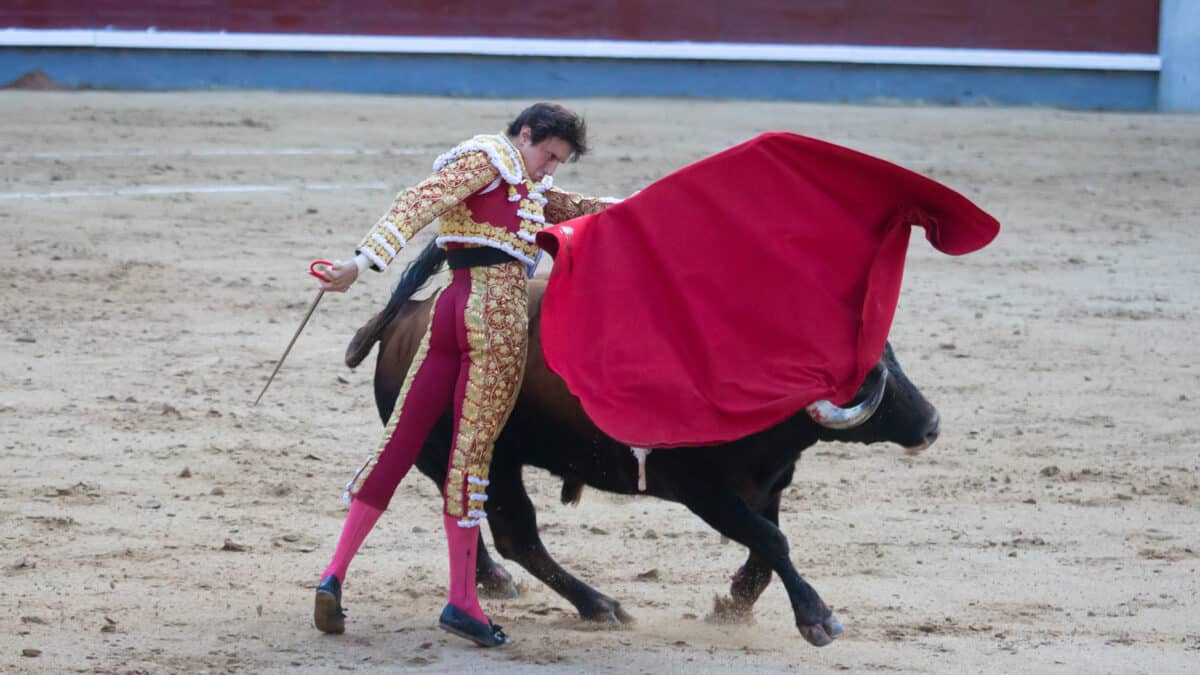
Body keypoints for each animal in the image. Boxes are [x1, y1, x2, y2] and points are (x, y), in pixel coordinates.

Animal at [343, 242, 940, 648]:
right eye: (868, 377)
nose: (932, 423)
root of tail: (407, 315)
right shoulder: (701, 489)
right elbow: (772, 540)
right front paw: (817, 618)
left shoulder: (767, 482)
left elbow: (767, 547)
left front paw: (734, 603)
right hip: (489, 456)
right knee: (517, 535)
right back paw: (598, 604)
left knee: (474, 516)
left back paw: (499, 583)